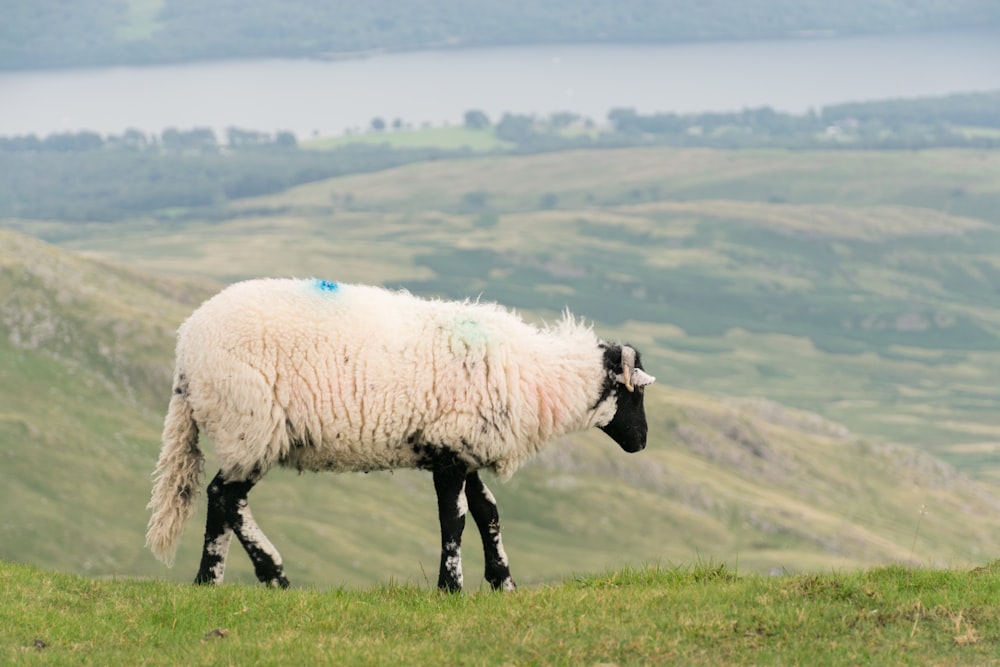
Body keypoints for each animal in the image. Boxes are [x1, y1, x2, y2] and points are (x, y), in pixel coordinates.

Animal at [145, 280, 652, 592]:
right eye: (636, 393)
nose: (642, 442)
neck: (540, 377)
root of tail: (186, 348)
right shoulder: (450, 450)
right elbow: (455, 521)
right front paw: (451, 586)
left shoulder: (463, 446)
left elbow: (488, 514)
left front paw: (503, 581)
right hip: (250, 424)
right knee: (226, 497)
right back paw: (269, 575)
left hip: (244, 431)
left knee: (221, 501)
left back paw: (214, 581)